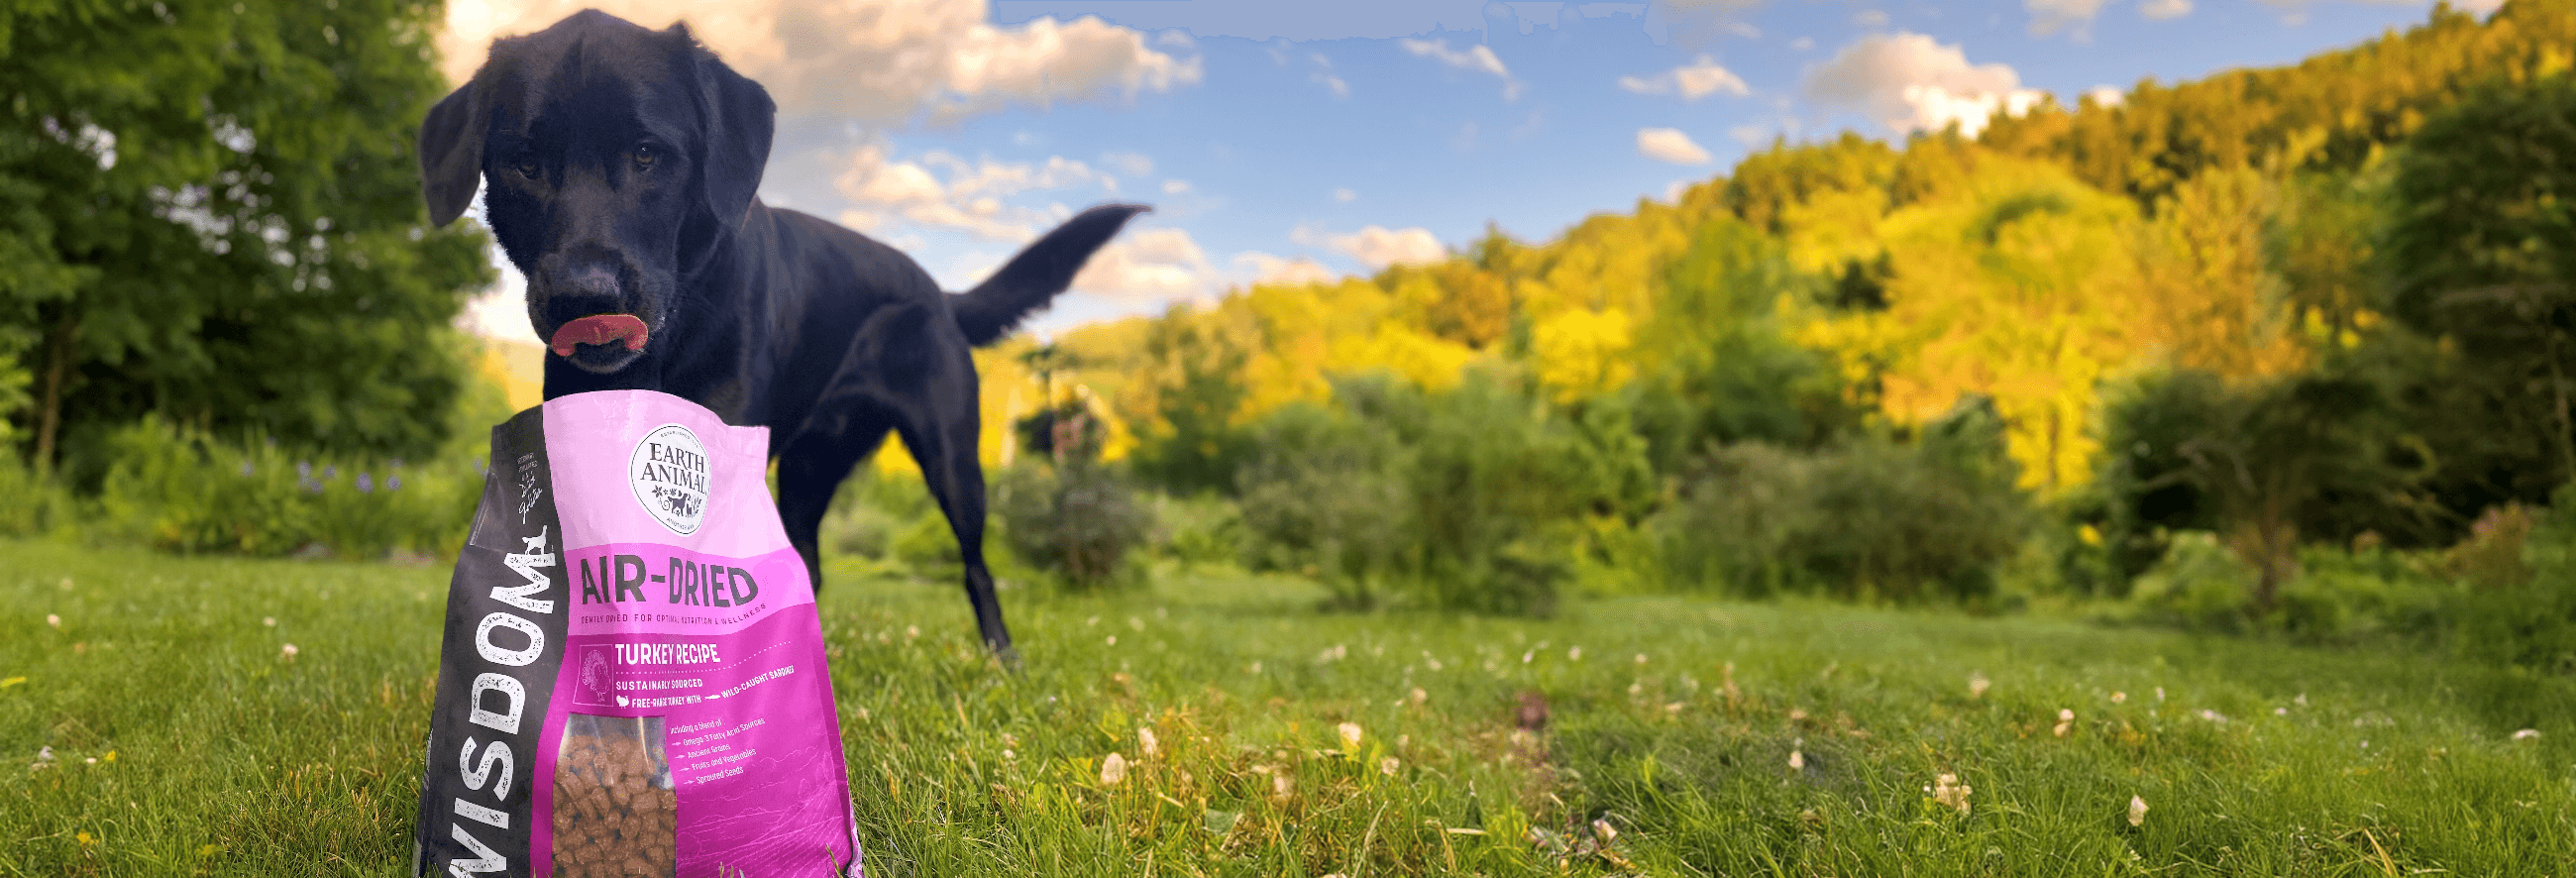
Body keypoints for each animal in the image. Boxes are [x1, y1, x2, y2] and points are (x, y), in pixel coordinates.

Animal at [417, 10, 1143, 656]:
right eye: (524, 161)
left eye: (648, 154)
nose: (584, 297)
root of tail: (937, 290)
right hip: (806, 470)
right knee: (809, 567)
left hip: (952, 461)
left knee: (976, 566)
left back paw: (1000, 657)